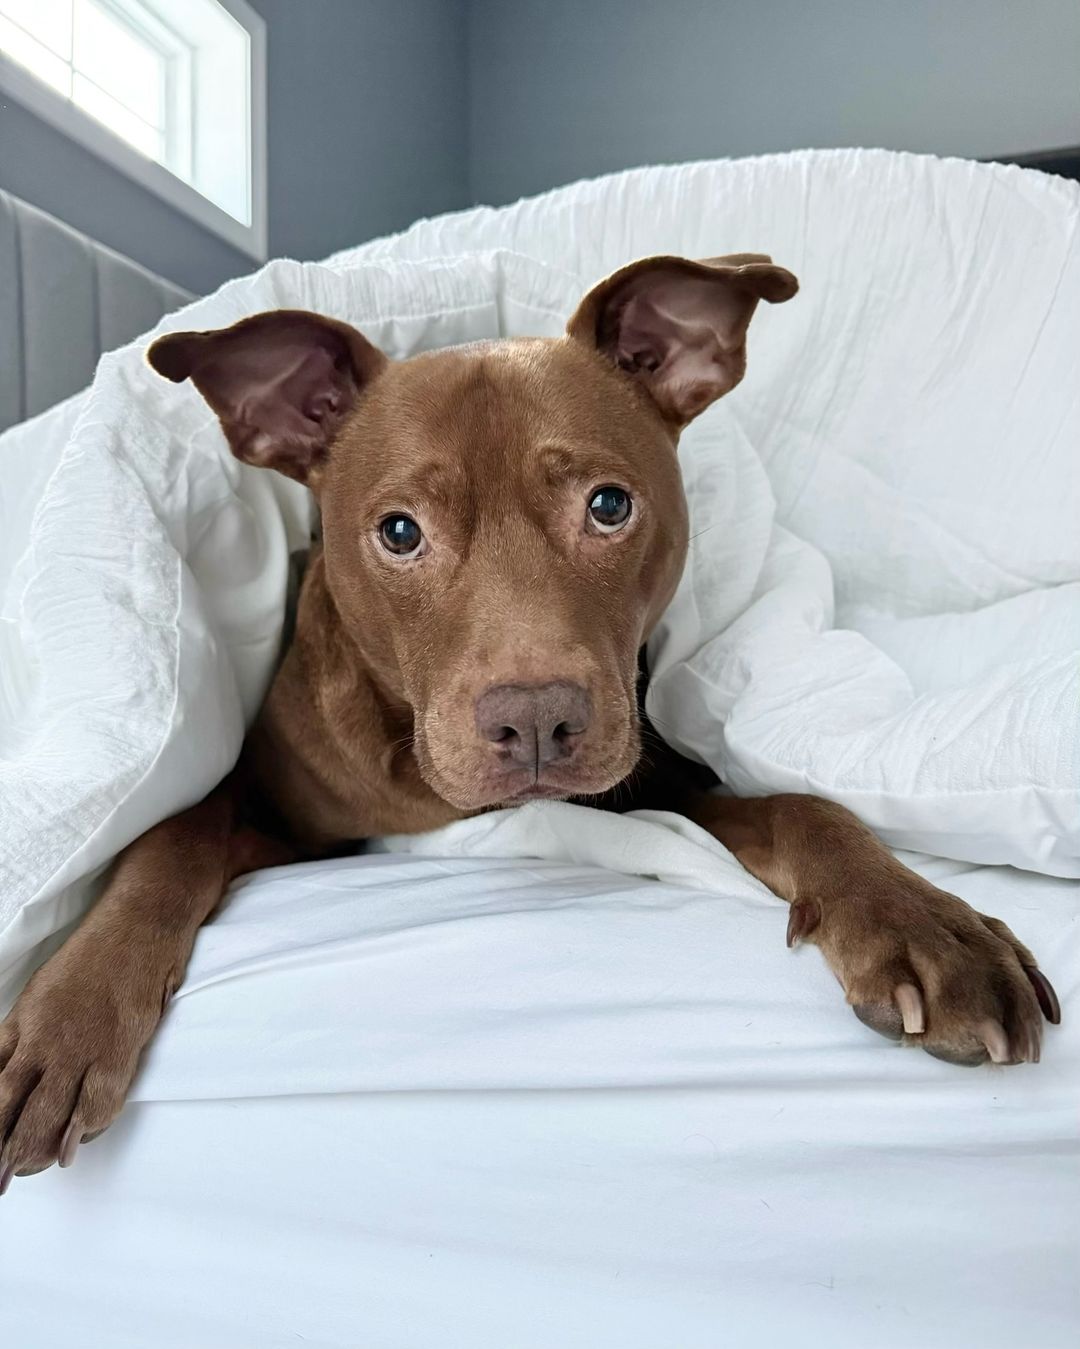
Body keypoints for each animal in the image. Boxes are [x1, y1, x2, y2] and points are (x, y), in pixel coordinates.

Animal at [0, 254, 1057, 1192]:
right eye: (398, 532)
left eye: (610, 505)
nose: (538, 720)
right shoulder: (273, 811)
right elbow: (170, 832)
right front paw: (70, 1012)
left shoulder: (661, 785)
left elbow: (805, 806)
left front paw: (922, 921)